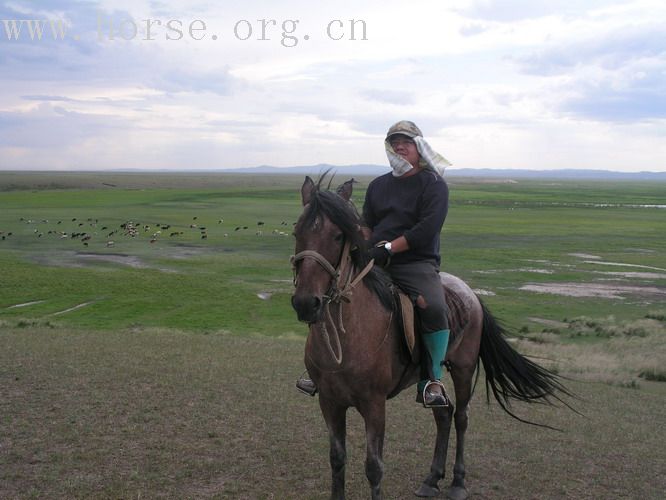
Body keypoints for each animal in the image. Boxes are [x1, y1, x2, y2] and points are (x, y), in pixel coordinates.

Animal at [290, 176, 572, 500]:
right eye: (297, 232)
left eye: (338, 236)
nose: (306, 303)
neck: (348, 335)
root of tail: (470, 293)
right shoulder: (330, 402)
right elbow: (337, 460)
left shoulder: (374, 404)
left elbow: (374, 467)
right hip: (433, 375)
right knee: (443, 413)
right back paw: (432, 478)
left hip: (463, 368)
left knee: (461, 417)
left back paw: (458, 482)